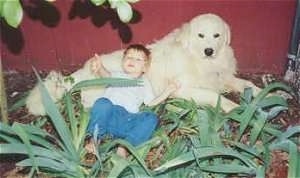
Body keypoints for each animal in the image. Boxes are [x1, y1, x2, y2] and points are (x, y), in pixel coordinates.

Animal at [25, 12, 260, 115]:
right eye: (201, 35)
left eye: (216, 35)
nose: (209, 50)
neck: (198, 60)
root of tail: (81, 71)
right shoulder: (184, 89)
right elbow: (214, 96)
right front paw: (233, 107)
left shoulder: (223, 76)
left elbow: (247, 84)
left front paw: (266, 94)